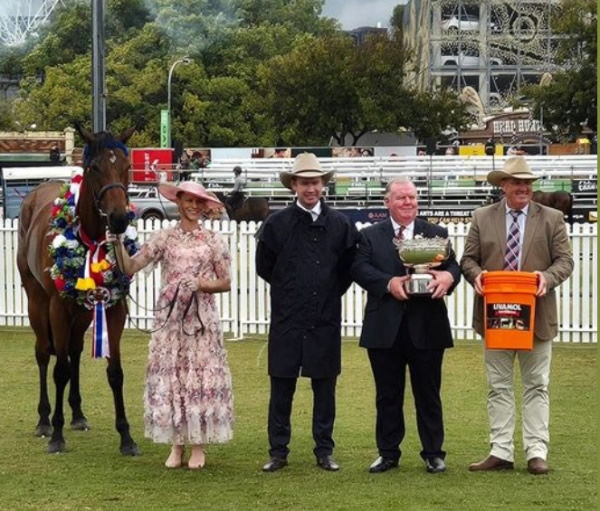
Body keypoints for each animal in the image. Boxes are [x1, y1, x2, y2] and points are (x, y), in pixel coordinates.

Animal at [16, 125, 141, 456]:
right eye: (94, 167)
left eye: (126, 166)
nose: (119, 219)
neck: (91, 238)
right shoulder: (58, 309)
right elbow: (59, 370)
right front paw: (57, 434)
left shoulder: (113, 307)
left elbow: (115, 372)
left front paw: (126, 436)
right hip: (37, 302)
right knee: (44, 353)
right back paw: (45, 420)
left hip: (83, 311)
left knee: (73, 350)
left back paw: (78, 414)